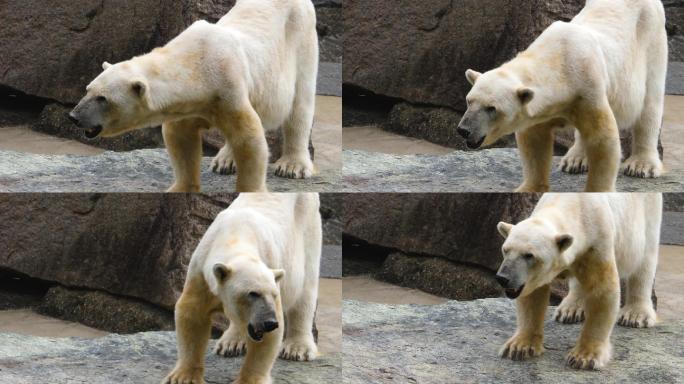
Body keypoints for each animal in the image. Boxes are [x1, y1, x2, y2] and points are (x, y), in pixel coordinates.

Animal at [68, 0, 320, 192]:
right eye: (88, 89)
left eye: (103, 99)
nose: (74, 116)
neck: (197, 64)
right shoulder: (186, 105)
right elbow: (180, 140)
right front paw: (180, 188)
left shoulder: (228, 87)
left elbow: (249, 138)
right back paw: (224, 160)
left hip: (302, 40)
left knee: (300, 105)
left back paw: (292, 166)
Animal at [162, 194, 322, 384]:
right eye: (252, 293)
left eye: (274, 295)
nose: (269, 323)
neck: (236, 236)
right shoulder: (201, 270)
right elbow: (192, 314)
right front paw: (183, 377)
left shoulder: (270, 263)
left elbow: (268, 339)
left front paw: (249, 379)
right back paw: (231, 342)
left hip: (307, 230)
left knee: (305, 289)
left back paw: (297, 348)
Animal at [456, 0, 664, 192]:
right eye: (469, 101)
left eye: (492, 108)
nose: (464, 130)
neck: (560, 60)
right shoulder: (543, 109)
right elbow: (534, 142)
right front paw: (529, 188)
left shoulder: (588, 87)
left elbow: (603, 139)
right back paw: (575, 160)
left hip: (652, 41)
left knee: (650, 104)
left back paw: (641, 165)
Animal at [496, 194, 664, 370]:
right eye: (505, 250)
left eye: (529, 255)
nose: (503, 278)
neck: (574, 205)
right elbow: (533, 296)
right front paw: (519, 347)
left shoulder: (598, 240)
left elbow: (602, 291)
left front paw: (583, 357)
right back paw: (570, 310)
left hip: (647, 214)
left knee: (645, 260)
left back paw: (635, 314)